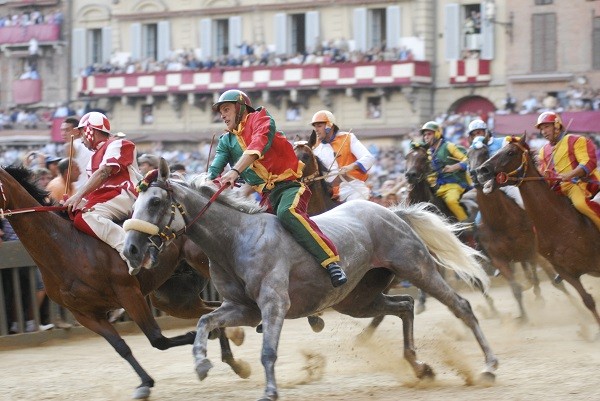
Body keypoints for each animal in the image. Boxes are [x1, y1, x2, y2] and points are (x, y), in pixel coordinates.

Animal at [0, 165, 250, 396]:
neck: (65, 247)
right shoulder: (85, 314)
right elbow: (122, 348)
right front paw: (145, 383)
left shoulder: (128, 293)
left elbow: (157, 339)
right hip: (172, 298)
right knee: (212, 310)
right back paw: (234, 356)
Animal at [124, 158, 500, 400]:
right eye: (135, 202)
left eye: (155, 201)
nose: (130, 249)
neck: (234, 240)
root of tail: (390, 210)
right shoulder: (242, 309)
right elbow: (206, 321)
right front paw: (202, 363)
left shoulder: (273, 303)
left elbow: (268, 351)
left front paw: (269, 390)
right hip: (357, 299)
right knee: (405, 305)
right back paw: (419, 367)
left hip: (417, 268)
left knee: (461, 306)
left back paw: (489, 365)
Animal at [468, 134, 568, 318]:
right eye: (467, 154)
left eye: (485, 152)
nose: (476, 173)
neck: (501, 222)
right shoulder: (499, 259)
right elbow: (515, 288)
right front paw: (523, 317)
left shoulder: (530, 249)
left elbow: (539, 277)